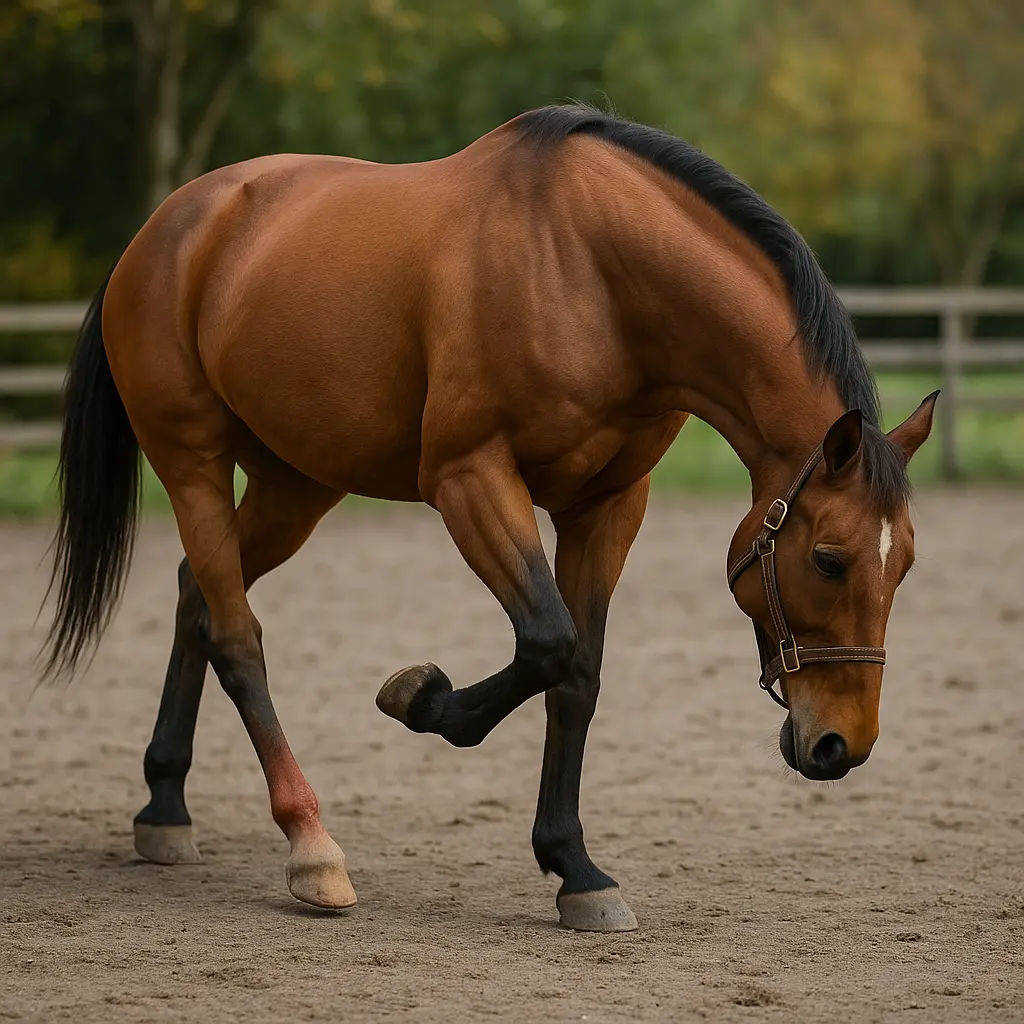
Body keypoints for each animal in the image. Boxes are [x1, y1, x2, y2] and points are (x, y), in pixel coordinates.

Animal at [42, 104, 936, 933]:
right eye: (828, 559)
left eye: (904, 567)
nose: (842, 745)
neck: (594, 274)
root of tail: (168, 225)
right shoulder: (471, 478)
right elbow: (546, 641)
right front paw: (420, 698)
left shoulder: (608, 506)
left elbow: (579, 675)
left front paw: (576, 869)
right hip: (190, 459)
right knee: (236, 637)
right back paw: (312, 848)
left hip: (294, 486)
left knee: (196, 592)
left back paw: (164, 805)